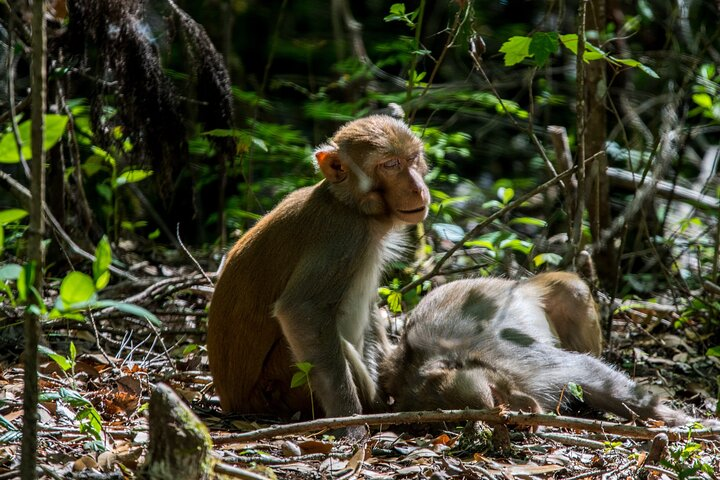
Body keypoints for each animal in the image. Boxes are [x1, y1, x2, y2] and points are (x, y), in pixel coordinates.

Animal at [207, 115, 430, 430]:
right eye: (390, 165)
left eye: (412, 159)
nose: (417, 188)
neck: (348, 204)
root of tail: (233, 405)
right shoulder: (344, 236)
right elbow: (301, 311)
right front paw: (350, 420)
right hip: (281, 385)